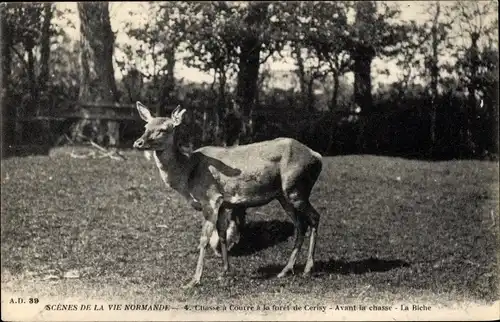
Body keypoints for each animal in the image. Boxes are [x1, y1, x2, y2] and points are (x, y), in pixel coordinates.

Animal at [132, 102, 324, 288]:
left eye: (164, 129)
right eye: (145, 126)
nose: (138, 143)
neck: (188, 175)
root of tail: (318, 156)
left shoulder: (210, 198)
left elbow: (204, 239)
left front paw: (193, 280)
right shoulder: (224, 204)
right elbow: (222, 235)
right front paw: (225, 271)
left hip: (296, 188)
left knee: (314, 217)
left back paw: (308, 268)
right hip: (283, 195)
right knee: (300, 225)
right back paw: (285, 270)